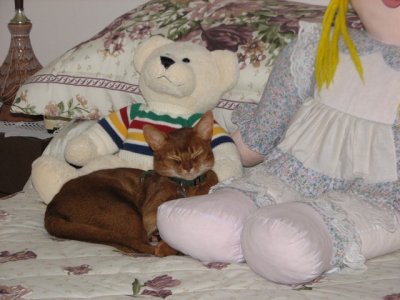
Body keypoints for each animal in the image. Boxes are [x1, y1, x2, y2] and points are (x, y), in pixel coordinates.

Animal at [45, 111, 219, 256]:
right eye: (174, 158)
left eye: (197, 153)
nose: (188, 168)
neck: (187, 187)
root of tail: (52, 207)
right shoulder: (149, 214)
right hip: (125, 209)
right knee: (140, 246)